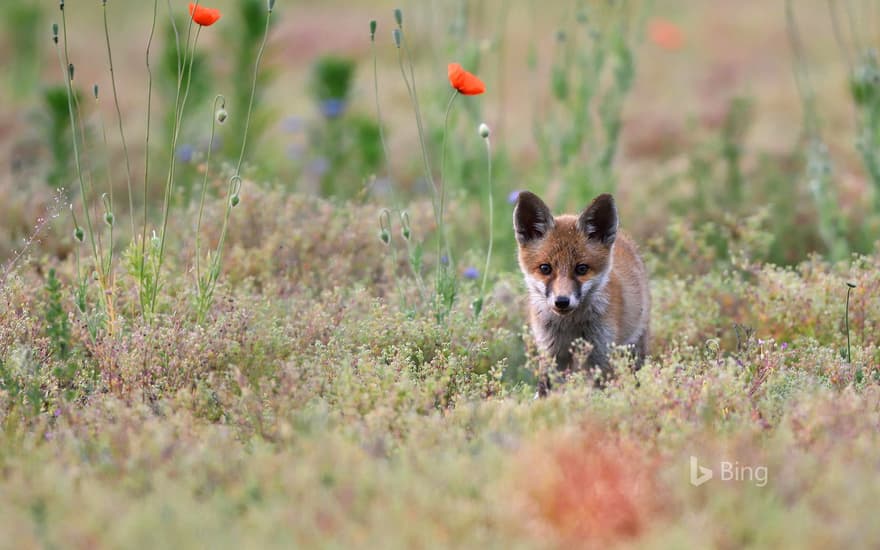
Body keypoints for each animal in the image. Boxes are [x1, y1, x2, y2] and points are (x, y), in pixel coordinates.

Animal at [512, 194, 648, 392]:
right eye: (545, 268)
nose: (562, 301)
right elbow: (546, 389)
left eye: (581, 269)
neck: (570, 326)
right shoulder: (552, 352)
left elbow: (598, 390)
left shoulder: (601, 353)